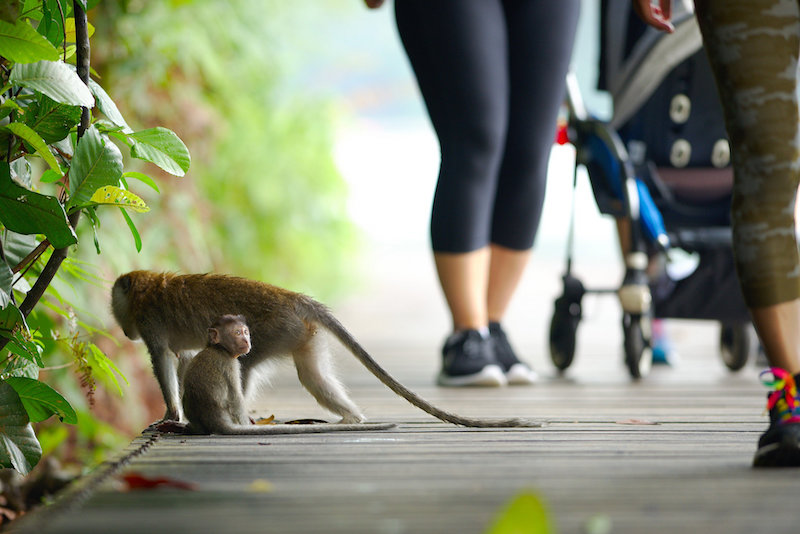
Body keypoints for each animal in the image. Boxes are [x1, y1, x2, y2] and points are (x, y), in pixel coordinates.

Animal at [182, 318, 394, 436]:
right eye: (237, 332)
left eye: (245, 332)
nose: (246, 340)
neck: (218, 349)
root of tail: (213, 419)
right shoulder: (231, 364)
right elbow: (235, 397)